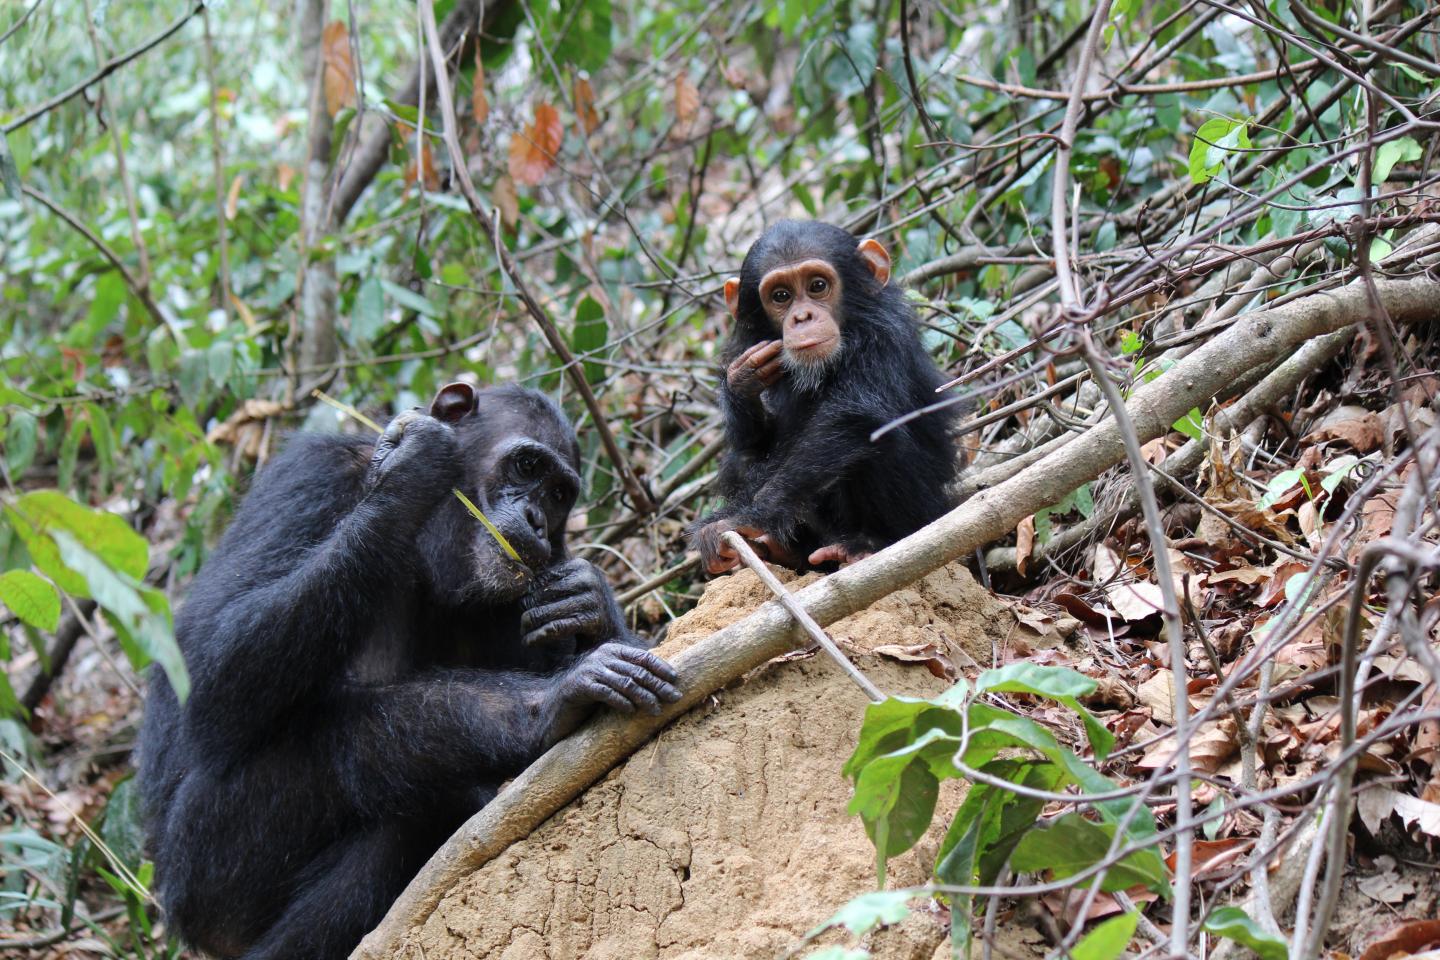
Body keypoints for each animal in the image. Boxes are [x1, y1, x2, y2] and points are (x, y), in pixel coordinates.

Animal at [140, 382, 679, 960]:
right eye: (527, 465)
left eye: (559, 495)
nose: (537, 517)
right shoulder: (307, 477)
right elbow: (209, 663)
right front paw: (409, 470)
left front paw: (590, 601)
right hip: (208, 867)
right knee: (361, 771)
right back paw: (546, 709)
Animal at [694, 221, 961, 575]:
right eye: (781, 296)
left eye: (818, 286)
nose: (802, 317)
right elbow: (755, 441)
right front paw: (741, 380)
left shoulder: (882, 336)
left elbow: (852, 418)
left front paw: (743, 518)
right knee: (743, 459)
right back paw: (784, 551)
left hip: (928, 513)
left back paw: (867, 546)